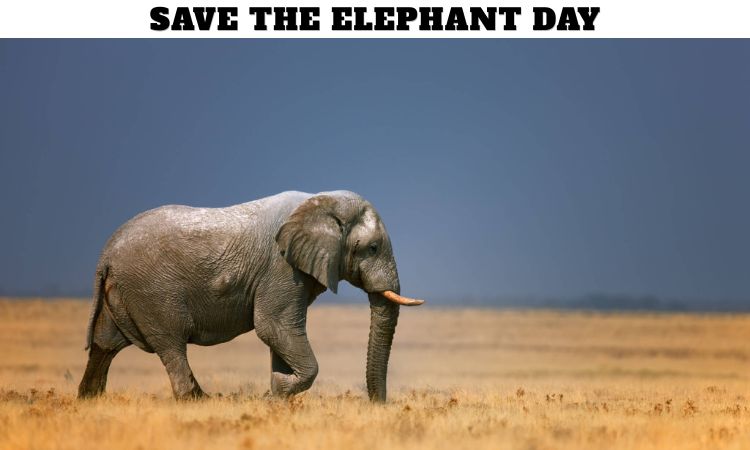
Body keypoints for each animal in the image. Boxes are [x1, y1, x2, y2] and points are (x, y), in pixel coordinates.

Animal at [77, 190, 424, 402]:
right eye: (373, 248)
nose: (377, 405)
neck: (322, 203)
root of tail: (106, 254)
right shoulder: (281, 267)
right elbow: (273, 327)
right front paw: (276, 394)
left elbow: (280, 334)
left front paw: (276, 395)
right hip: (152, 291)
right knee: (171, 344)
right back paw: (198, 401)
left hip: (124, 292)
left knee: (105, 344)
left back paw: (89, 400)